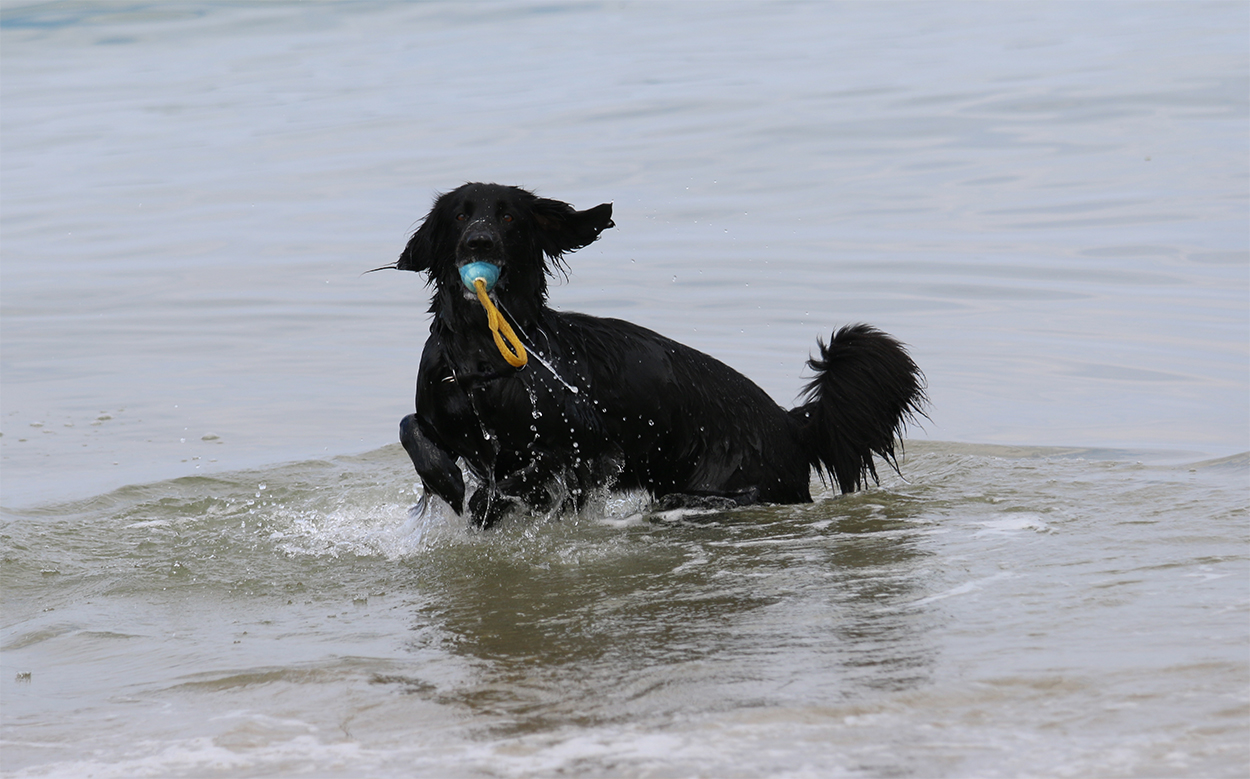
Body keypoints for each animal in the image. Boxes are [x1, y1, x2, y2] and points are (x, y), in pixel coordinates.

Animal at [389, 183, 926, 528]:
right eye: (461, 214)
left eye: (508, 216)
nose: (478, 241)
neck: (481, 357)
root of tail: (789, 422)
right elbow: (410, 426)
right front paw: (445, 480)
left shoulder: (594, 446)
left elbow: (527, 473)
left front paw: (488, 501)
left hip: (713, 491)